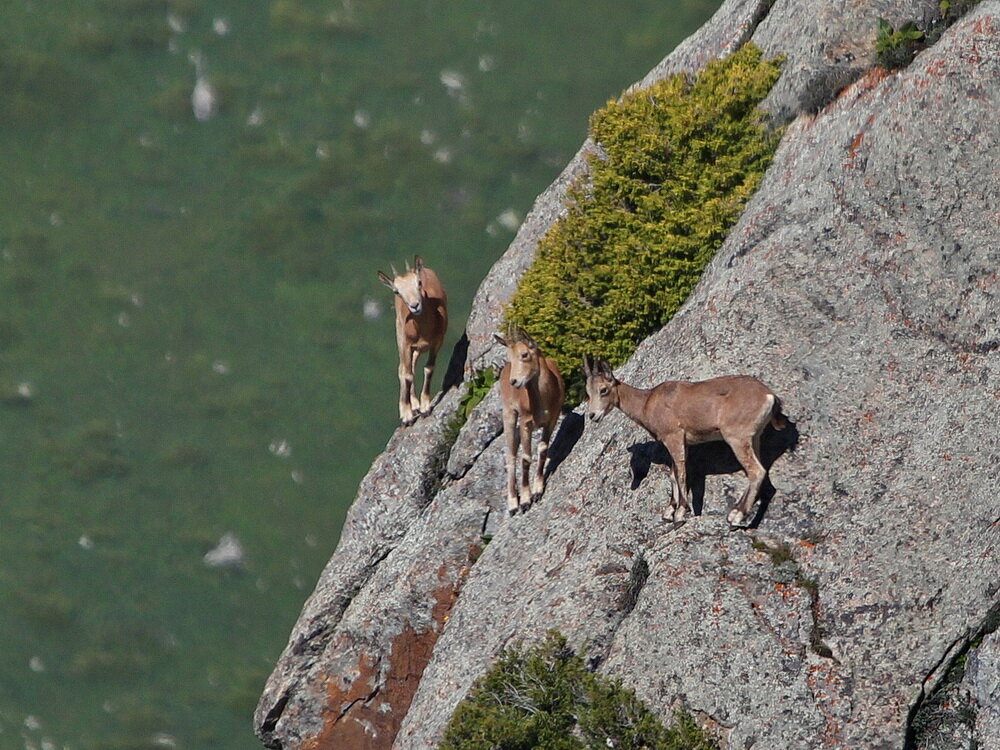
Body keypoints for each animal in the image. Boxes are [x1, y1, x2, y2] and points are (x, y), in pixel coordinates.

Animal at [378, 258, 450, 424]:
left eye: (419, 282)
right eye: (396, 291)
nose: (414, 306)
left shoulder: (437, 342)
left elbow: (429, 368)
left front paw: (425, 408)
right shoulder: (406, 345)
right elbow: (407, 375)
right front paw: (407, 416)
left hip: (418, 349)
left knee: (411, 366)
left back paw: (416, 405)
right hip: (400, 336)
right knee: (403, 369)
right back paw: (409, 409)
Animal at [496, 328, 568, 516]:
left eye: (524, 354)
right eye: (510, 357)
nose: (514, 381)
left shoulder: (552, 418)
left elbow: (543, 449)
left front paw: (537, 490)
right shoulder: (525, 422)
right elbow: (526, 458)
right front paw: (525, 501)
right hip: (509, 414)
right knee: (511, 455)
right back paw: (513, 503)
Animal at [584, 356, 784, 528]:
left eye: (603, 390)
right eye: (588, 393)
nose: (593, 416)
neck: (647, 402)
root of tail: (769, 396)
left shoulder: (674, 436)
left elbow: (680, 473)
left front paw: (680, 513)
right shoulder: (682, 442)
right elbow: (672, 474)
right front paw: (669, 511)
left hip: (736, 437)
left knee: (756, 471)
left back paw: (736, 517)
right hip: (754, 437)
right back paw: (735, 512)